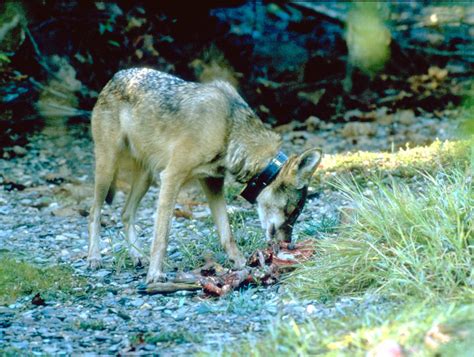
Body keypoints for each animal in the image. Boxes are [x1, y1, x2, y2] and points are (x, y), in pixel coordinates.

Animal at [88, 68, 322, 282]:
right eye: (291, 211)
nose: (288, 244)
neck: (228, 130)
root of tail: (116, 76)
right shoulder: (171, 177)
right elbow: (161, 237)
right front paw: (154, 275)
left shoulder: (212, 182)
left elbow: (227, 233)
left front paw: (242, 264)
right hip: (108, 169)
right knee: (94, 212)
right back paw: (94, 258)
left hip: (146, 178)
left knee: (125, 213)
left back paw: (138, 256)